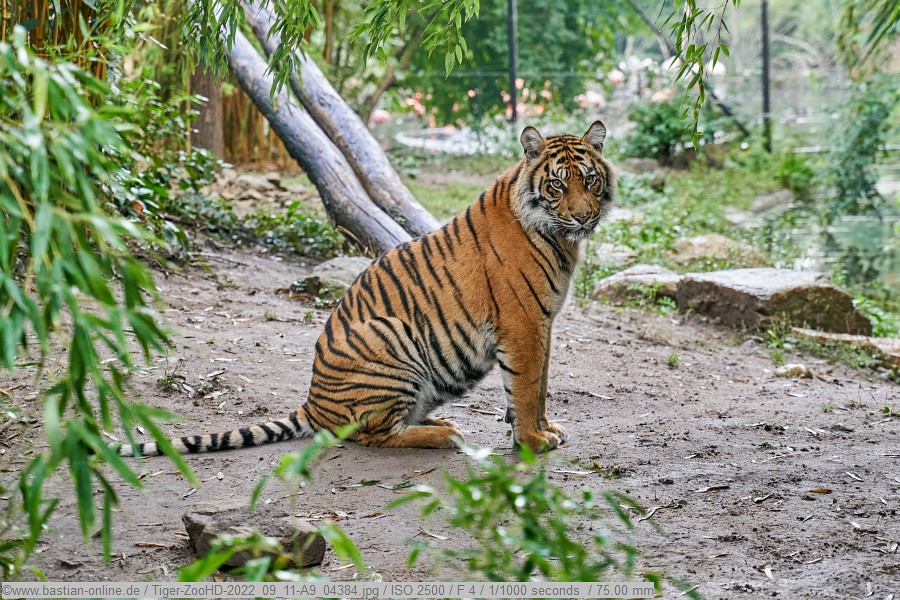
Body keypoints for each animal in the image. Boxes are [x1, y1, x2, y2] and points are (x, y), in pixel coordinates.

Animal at [119, 121, 616, 457]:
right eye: (557, 185)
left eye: (589, 180)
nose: (582, 217)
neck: (561, 239)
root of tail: (313, 404)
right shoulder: (523, 322)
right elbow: (527, 386)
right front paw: (533, 438)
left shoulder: (543, 323)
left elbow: (542, 385)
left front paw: (546, 428)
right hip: (392, 337)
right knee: (372, 434)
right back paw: (445, 432)